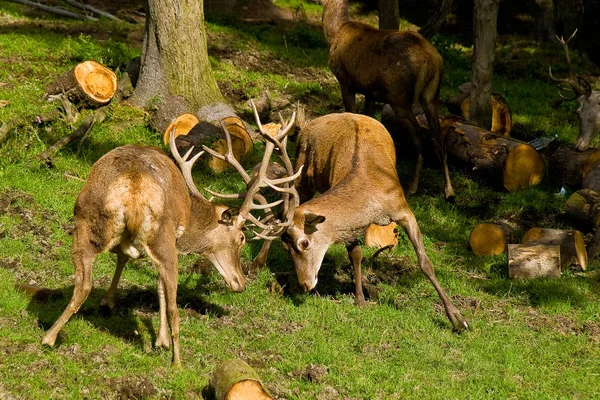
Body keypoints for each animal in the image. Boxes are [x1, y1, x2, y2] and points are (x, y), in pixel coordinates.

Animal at [41, 107, 298, 368]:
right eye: (242, 238)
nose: (241, 283)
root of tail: (133, 188)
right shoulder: (173, 242)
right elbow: (160, 287)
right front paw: (161, 341)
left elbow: (123, 259)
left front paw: (108, 301)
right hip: (161, 236)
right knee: (174, 307)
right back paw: (178, 362)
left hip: (84, 220)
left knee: (83, 284)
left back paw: (49, 336)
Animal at [284, 113, 472, 332]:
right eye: (286, 249)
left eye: (304, 243)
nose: (304, 284)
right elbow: (356, 254)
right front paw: (360, 299)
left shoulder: (403, 208)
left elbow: (425, 262)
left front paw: (458, 319)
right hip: (301, 172)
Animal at [324, 0, 454, 200]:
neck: (336, 31)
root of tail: (432, 61)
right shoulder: (370, 92)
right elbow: (368, 118)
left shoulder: (345, 80)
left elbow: (351, 114)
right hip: (432, 94)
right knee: (438, 136)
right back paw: (449, 191)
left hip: (399, 96)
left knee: (420, 135)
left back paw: (412, 187)